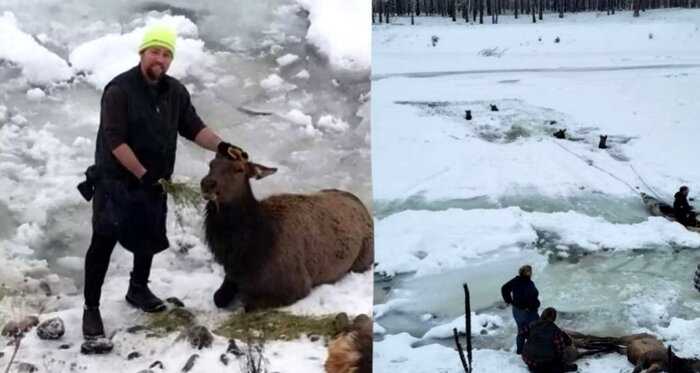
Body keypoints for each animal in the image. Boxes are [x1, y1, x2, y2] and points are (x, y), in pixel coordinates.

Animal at [198, 155, 372, 310]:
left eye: (239, 169)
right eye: (211, 164)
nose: (207, 183)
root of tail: (362, 205)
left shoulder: (297, 285)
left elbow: (249, 305)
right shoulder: (231, 276)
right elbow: (217, 298)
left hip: (363, 259)